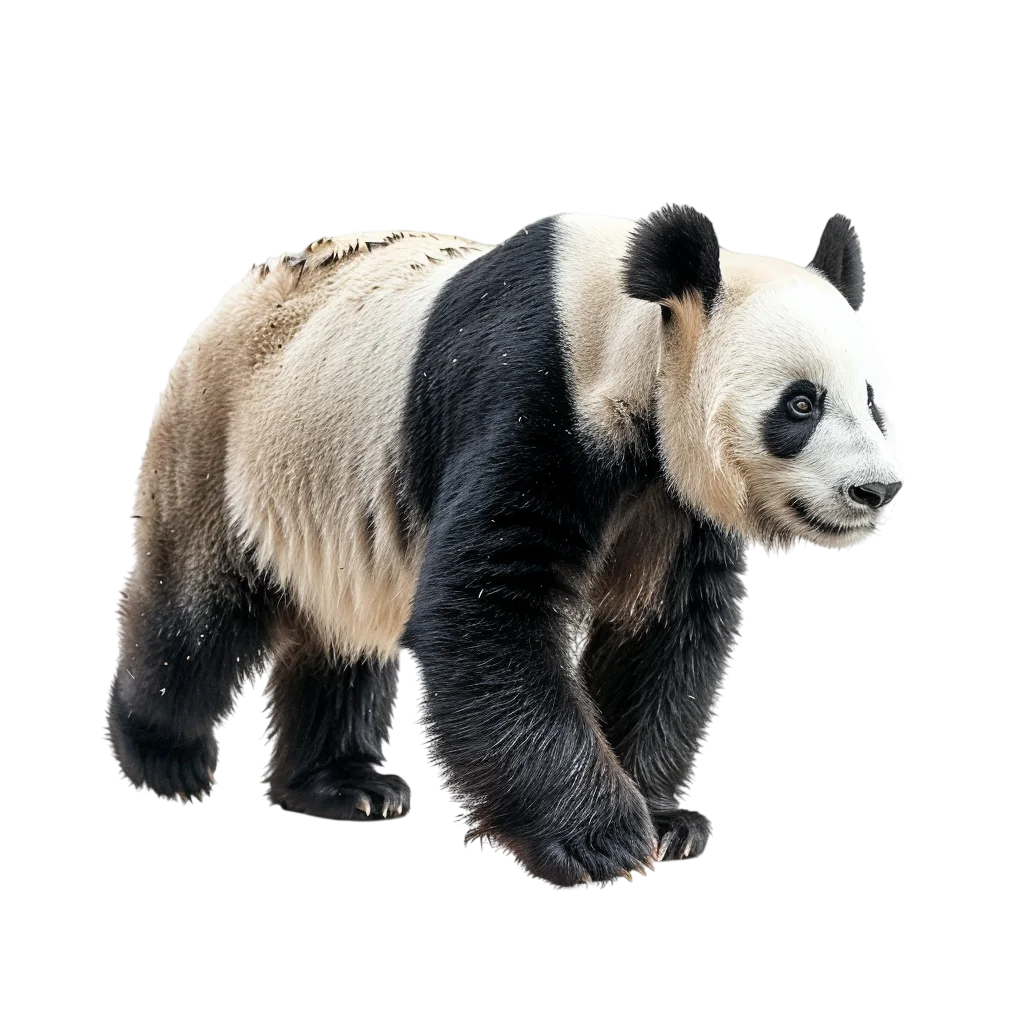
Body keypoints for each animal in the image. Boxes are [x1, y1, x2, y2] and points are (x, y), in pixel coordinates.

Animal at [113, 208, 901, 884]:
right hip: (224, 432)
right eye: (800, 404)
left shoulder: (671, 501)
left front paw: (667, 822)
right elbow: (487, 609)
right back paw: (167, 758)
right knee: (198, 611)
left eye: (874, 400)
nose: (878, 490)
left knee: (340, 629)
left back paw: (347, 783)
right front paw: (603, 839)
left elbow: (664, 631)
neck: (629, 326)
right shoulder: (531, 392)